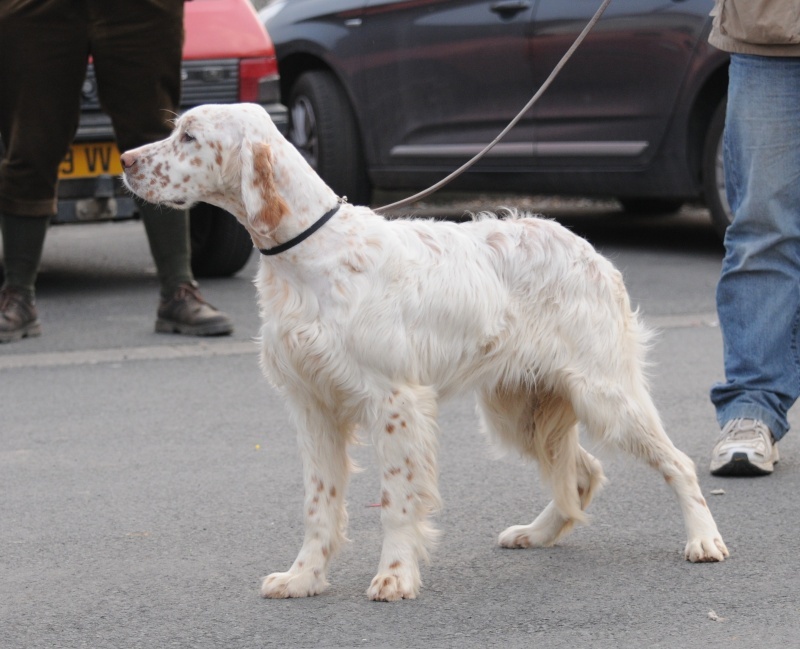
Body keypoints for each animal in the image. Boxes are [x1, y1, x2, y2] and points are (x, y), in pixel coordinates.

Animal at [122, 102, 728, 604]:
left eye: (189, 136)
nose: (125, 160)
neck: (310, 254)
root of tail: (589, 250)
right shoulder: (312, 406)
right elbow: (320, 504)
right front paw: (304, 577)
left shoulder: (394, 403)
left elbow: (396, 500)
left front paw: (395, 576)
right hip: (519, 408)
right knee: (582, 472)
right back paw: (535, 533)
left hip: (605, 394)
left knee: (676, 463)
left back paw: (704, 540)